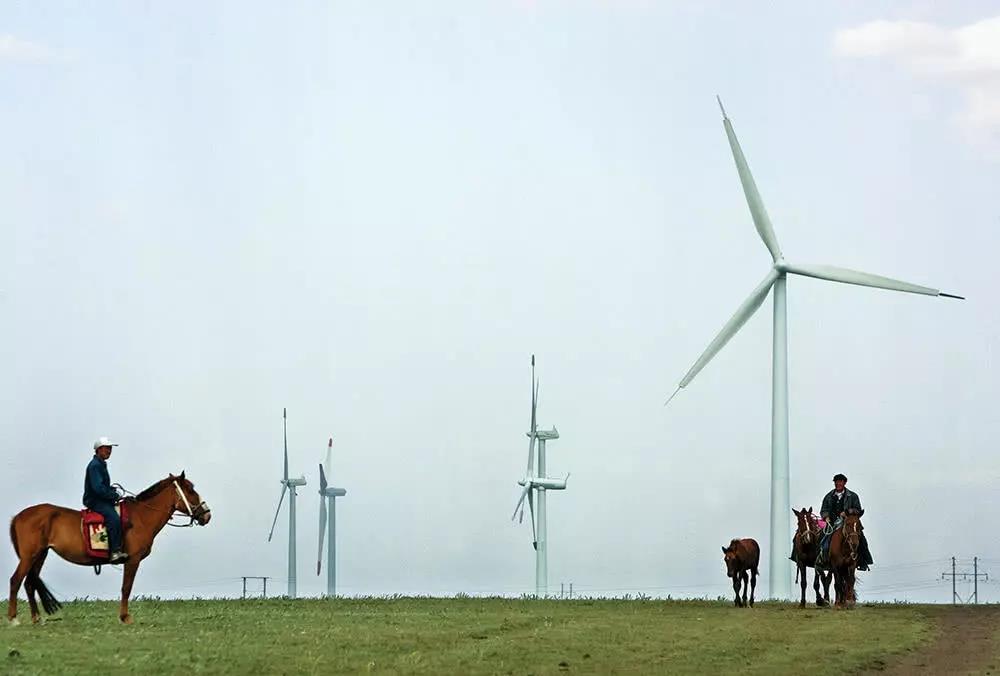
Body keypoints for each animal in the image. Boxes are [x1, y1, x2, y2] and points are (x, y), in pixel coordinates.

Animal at [6, 470, 211, 624]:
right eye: (190, 490)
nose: (207, 514)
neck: (141, 517)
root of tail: (18, 516)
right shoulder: (133, 560)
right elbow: (126, 587)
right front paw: (125, 617)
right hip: (29, 556)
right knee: (16, 580)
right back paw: (13, 618)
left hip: (40, 555)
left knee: (29, 583)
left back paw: (36, 618)